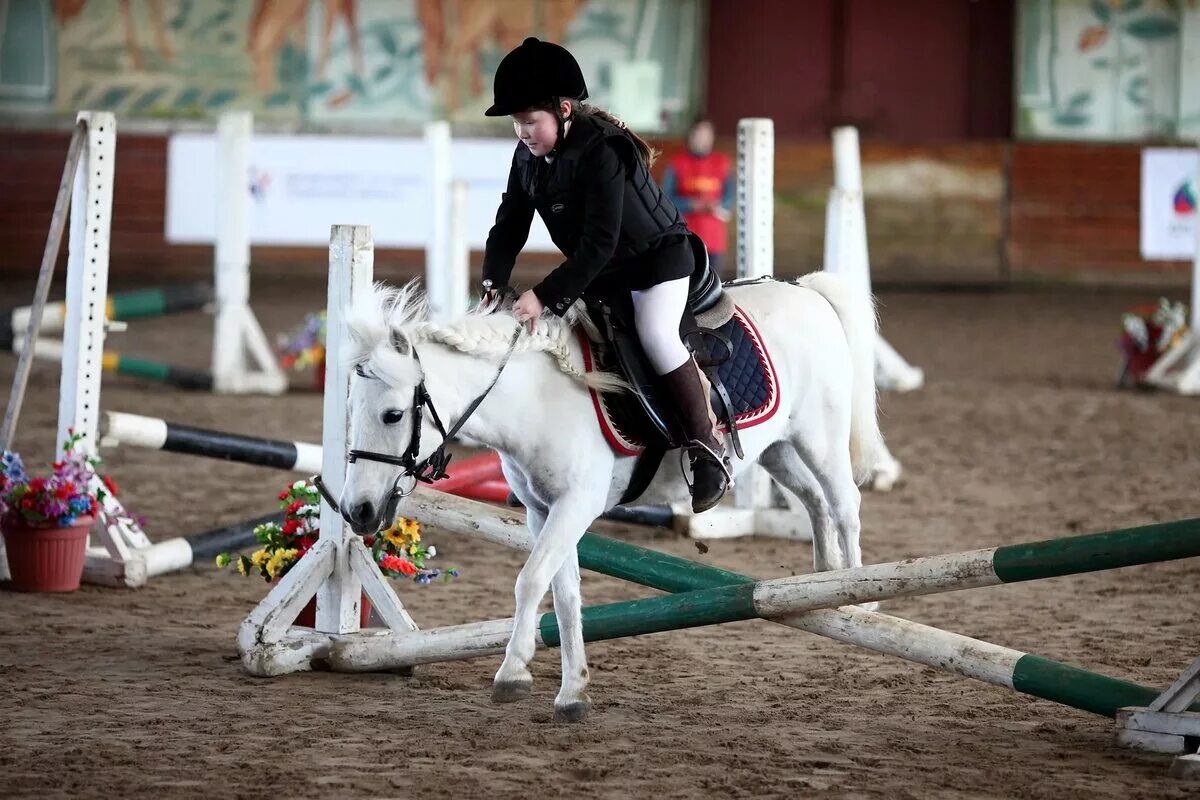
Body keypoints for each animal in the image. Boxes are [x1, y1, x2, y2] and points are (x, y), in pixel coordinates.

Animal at [343, 273, 888, 719]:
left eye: (393, 414)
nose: (356, 510)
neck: (535, 400)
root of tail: (807, 291)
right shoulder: (543, 511)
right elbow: (564, 596)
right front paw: (572, 694)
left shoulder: (575, 506)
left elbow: (530, 580)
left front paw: (512, 672)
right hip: (776, 448)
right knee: (814, 501)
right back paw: (823, 578)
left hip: (819, 437)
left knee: (845, 504)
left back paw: (860, 600)